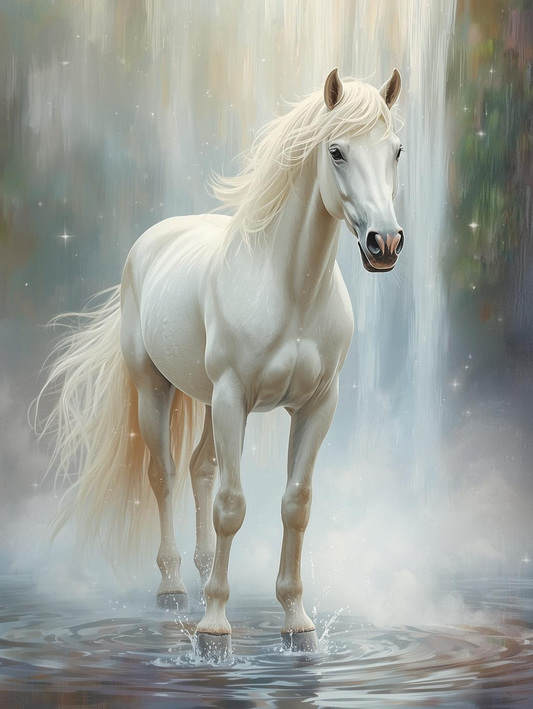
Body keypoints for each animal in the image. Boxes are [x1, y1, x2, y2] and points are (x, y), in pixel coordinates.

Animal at [35, 68, 404, 659]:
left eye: (396, 150)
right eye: (337, 151)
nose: (385, 243)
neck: (291, 291)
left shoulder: (317, 406)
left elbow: (295, 505)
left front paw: (297, 623)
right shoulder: (235, 399)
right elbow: (232, 506)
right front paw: (213, 630)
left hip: (209, 400)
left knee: (200, 468)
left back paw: (205, 568)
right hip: (157, 390)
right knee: (164, 474)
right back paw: (173, 588)